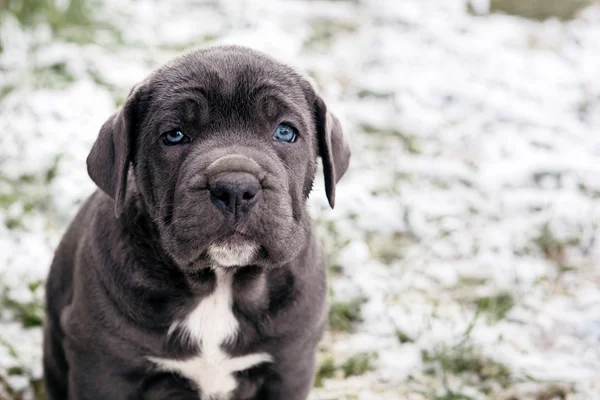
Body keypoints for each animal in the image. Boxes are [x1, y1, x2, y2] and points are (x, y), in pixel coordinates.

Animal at [42, 44, 350, 400]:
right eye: (174, 136)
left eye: (286, 132)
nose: (235, 187)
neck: (218, 282)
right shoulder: (103, 367)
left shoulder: (290, 365)